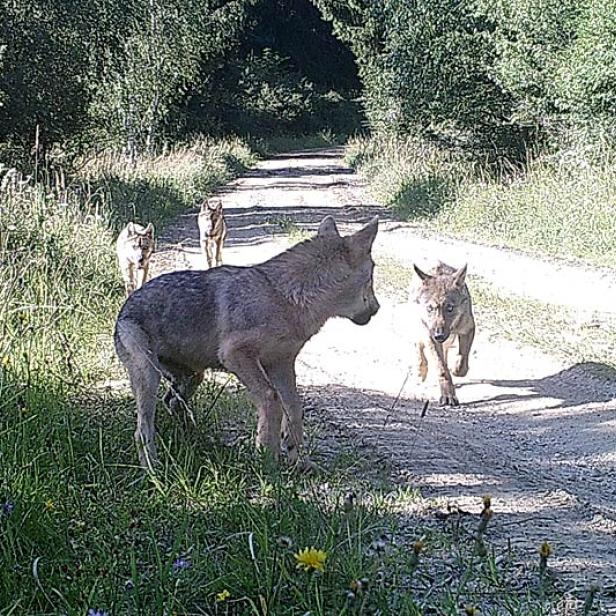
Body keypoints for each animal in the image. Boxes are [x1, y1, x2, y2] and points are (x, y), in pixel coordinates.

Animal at [113, 214, 378, 470]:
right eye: (373, 275)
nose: (377, 309)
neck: (285, 298)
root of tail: (123, 309)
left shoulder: (281, 364)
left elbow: (294, 407)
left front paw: (298, 461)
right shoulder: (236, 355)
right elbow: (272, 400)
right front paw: (269, 464)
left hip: (192, 378)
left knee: (172, 403)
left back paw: (192, 439)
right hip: (149, 377)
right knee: (142, 429)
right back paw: (154, 471)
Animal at [410, 262, 476, 406]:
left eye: (449, 308)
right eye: (430, 308)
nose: (438, 335)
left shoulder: (469, 329)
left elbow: (462, 360)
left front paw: (456, 370)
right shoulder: (430, 336)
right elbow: (442, 369)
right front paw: (448, 396)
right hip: (421, 330)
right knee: (419, 348)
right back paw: (421, 372)